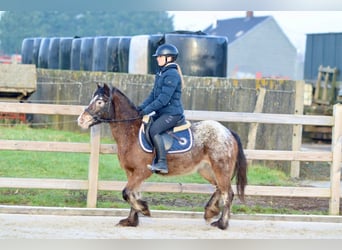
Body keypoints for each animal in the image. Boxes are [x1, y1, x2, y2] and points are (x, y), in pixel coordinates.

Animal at [78, 83, 247, 229]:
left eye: (100, 101)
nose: (81, 120)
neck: (132, 132)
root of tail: (227, 131)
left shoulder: (142, 171)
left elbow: (127, 193)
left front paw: (144, 209)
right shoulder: (131, 172)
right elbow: (133, 193)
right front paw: (131, 220)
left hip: (221, 168)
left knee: (228, 193)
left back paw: (222, 224)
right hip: (207, 170)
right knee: (219, 188)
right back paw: (210, 211)